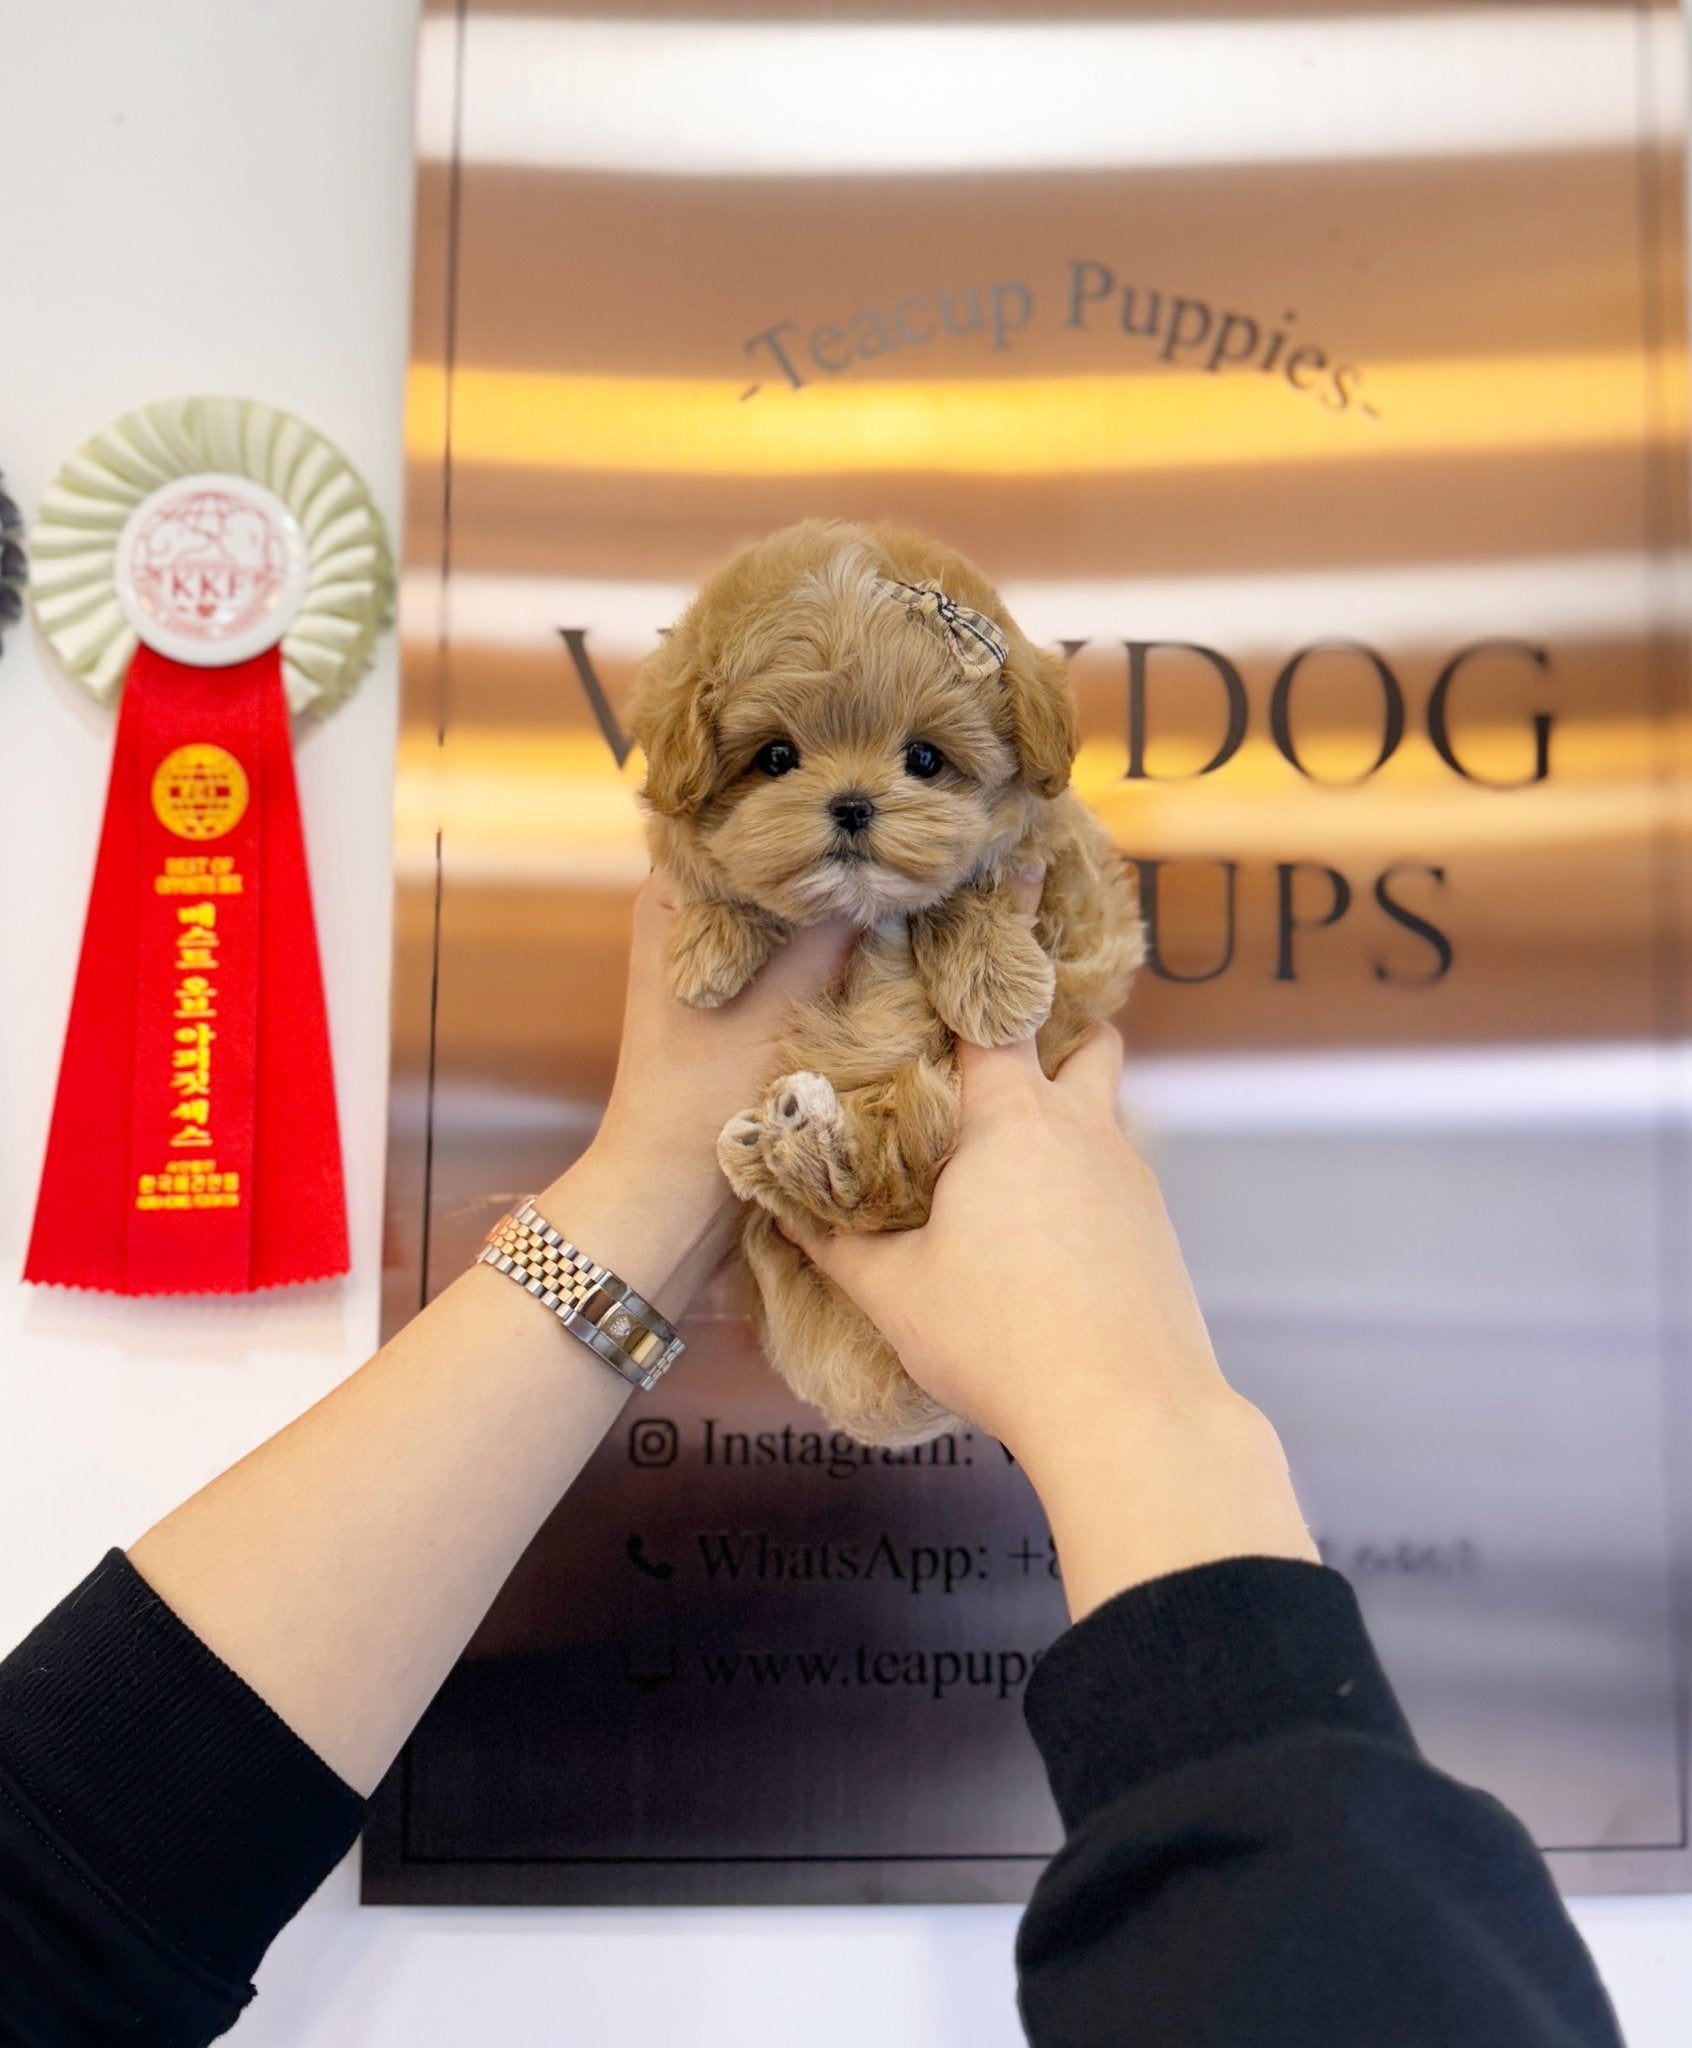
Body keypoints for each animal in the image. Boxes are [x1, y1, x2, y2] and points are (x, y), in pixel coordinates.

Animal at [630, 516, 1147, 1441]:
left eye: (925, 759)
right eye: (775, 757)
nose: (852, 804)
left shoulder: (1071, 878)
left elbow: (977, 882)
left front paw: (997, 982)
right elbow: (710, 875)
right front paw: (709, 946)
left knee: (890, 1187)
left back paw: (800, 1144)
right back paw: (779, 1146)